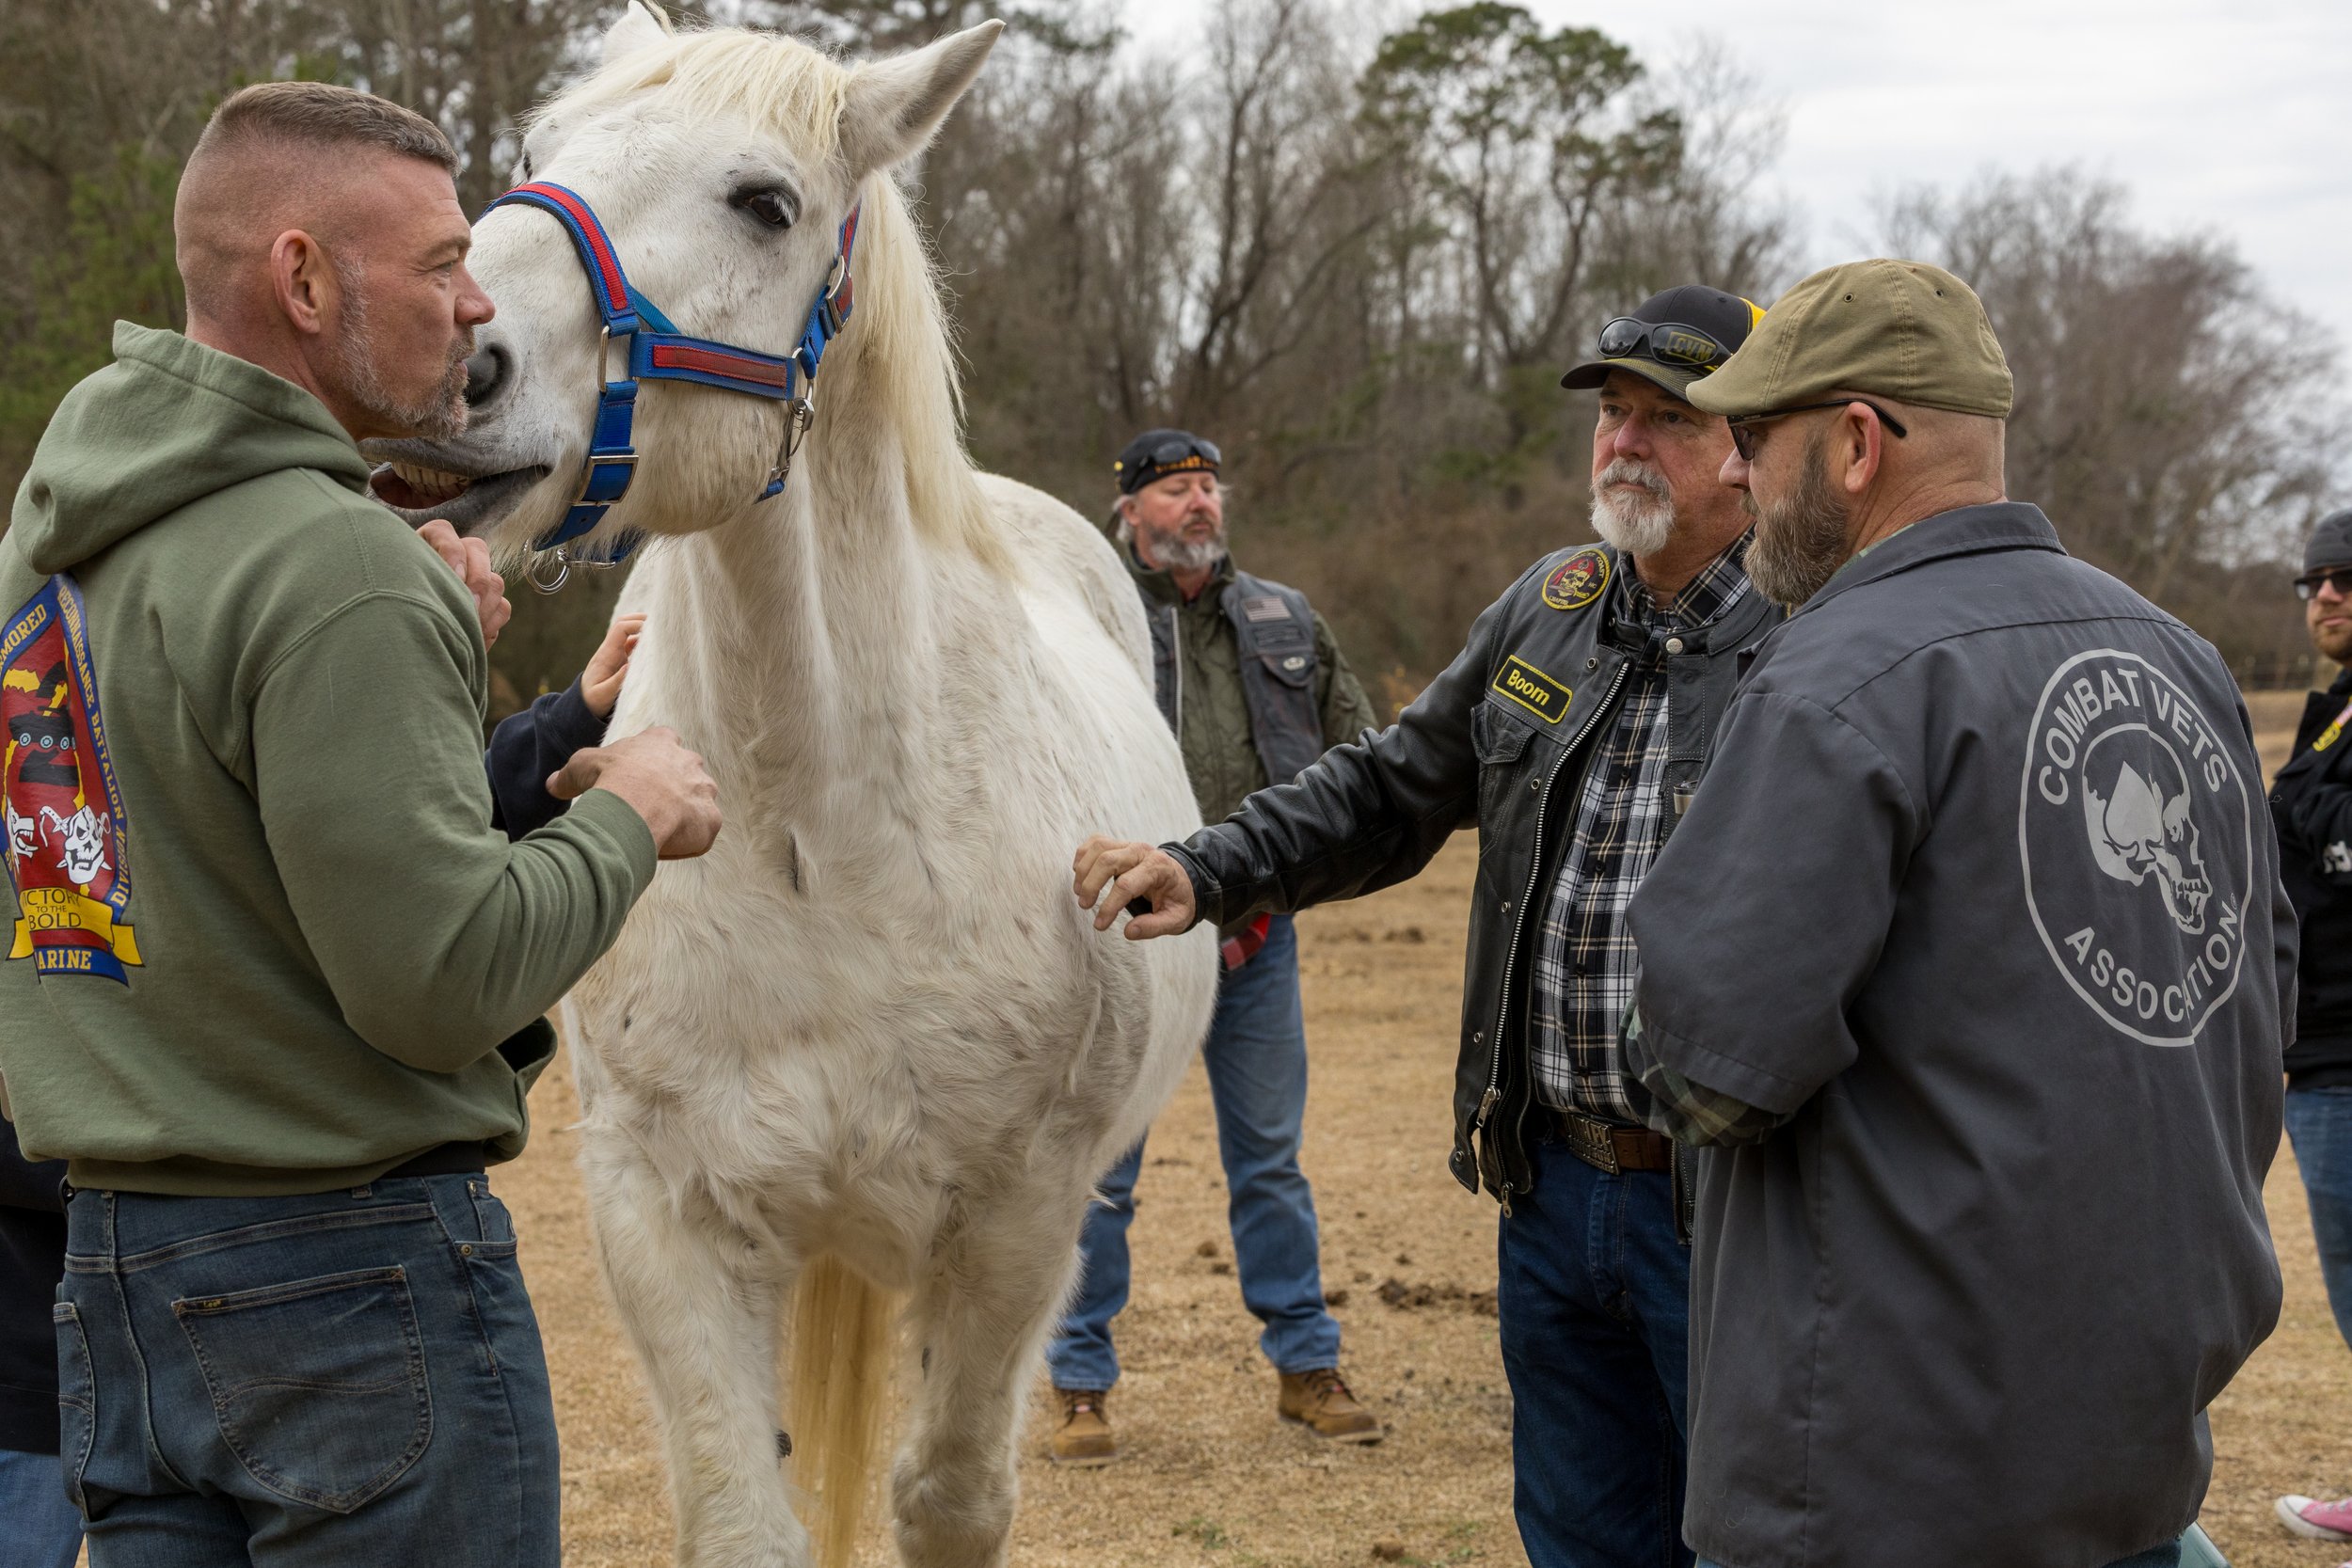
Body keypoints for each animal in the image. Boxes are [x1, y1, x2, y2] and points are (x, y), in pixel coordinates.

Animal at [364, 7, 1219, 1565]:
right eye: (537, 149)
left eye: (764, 201)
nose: (446, 365)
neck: (828, 831)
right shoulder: (665, 1219)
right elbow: (742, 1515)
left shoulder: (1015, 1229)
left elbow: (951, 1497)